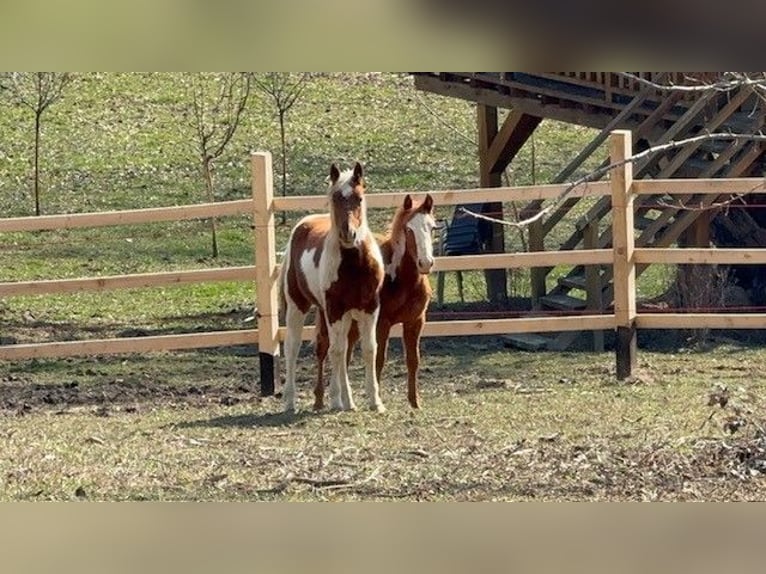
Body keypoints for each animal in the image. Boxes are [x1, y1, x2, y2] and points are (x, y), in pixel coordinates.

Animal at [280, 162, 388, 414]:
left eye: (359, 198)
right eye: (335, 198)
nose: (349, 234)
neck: (354, 266)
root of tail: (302, 226)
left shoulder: (370, 308)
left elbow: (369, 349)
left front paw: (375, 401)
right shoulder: (335, 310)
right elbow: (338, 352)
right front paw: (346, 401)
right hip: (298, 306)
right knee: (293, 347)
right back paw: (290, 401)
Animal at [314, 196, 436, 412]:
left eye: (432, 227)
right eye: (409, 229)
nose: (426, 263)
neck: (402, 280)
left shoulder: (415, 322)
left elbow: (413, 360)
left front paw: (414, 402)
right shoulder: (382, 323)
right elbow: (378, 359)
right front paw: (375, 398)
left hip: (353, 324)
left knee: (344, 355)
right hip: (330, 318)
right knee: (323, 350)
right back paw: (320, 399)